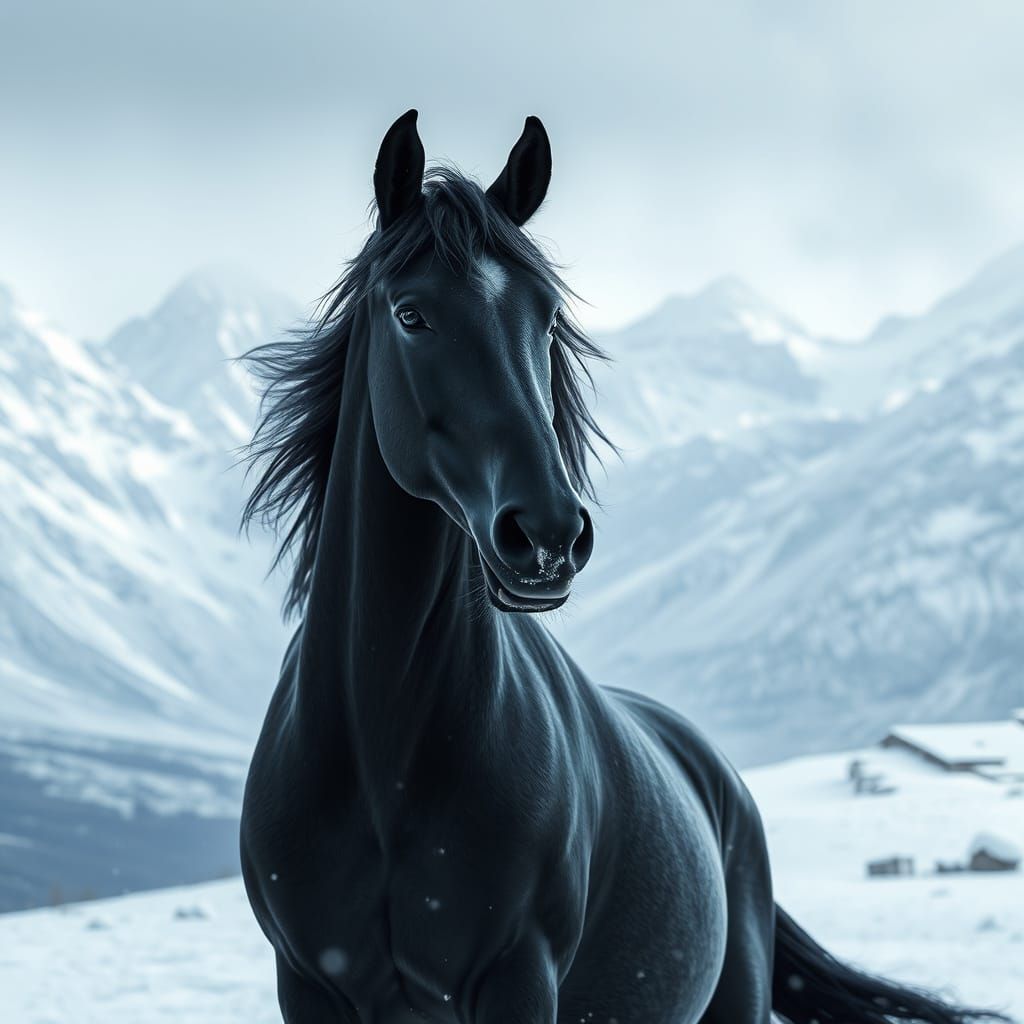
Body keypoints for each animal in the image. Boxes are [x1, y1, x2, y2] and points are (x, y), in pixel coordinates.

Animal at [239, 110, 1006, 1024]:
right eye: (411, 314)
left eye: (545, 319)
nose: (547, 534)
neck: (383, 749)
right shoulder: (308, 981)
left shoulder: (519, 978)